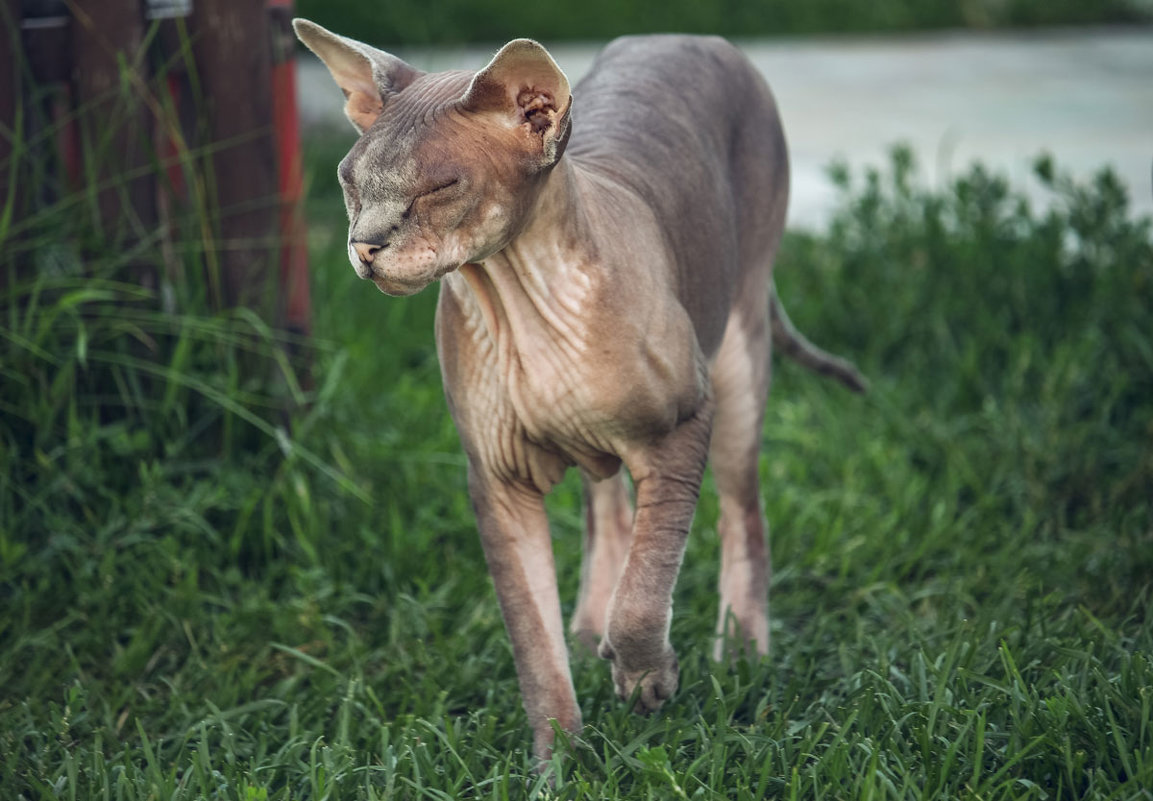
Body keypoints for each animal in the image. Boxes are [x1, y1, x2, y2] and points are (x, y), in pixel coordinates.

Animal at [297, 17, 867, 756]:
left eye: (439, 187)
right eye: (349, 181)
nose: (364, 245)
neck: (520, 307)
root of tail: (690, 33)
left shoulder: (682, 427)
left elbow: (648, 586)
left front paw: (646, 679)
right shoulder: (497, 481)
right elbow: (534, 644)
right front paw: (559, 760)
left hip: (740, 352)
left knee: (741, 510)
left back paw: (741, 654)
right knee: (608, 504)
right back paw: (591, 625)